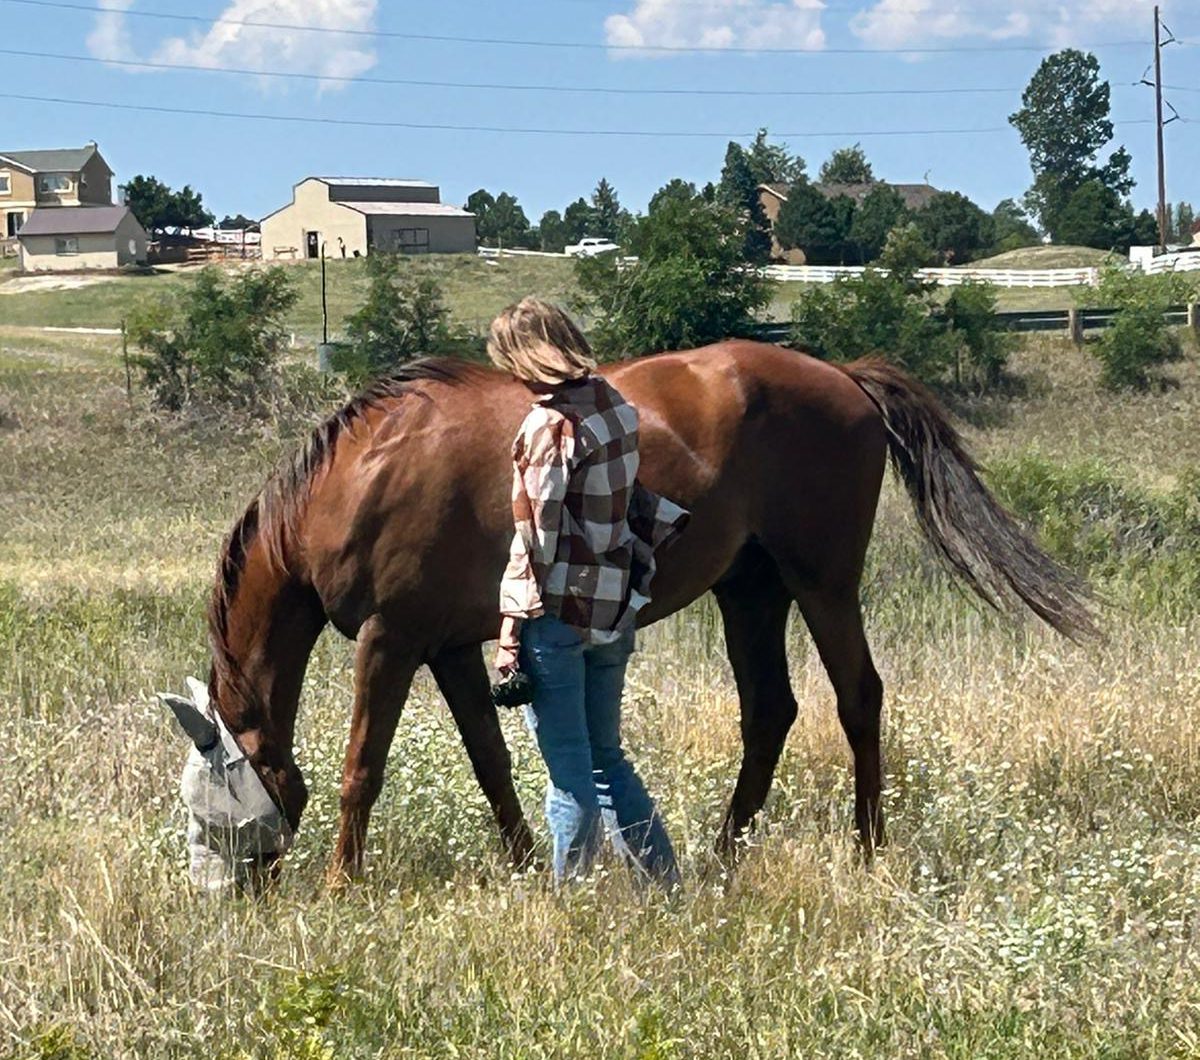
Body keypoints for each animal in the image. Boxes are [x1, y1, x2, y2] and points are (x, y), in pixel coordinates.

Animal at [162, 340, 1099, 888]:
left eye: (208, 808)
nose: (218, 897)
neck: (365, 474)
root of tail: (843, 376)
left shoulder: (391, 645)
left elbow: (363, 768)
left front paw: (341, 886)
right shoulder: (454, 651)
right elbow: (492, 764)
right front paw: (526, 866)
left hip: (823, 583)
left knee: (858, 699)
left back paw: (867, 849)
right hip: (749, 592)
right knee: (770, 711)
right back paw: (723, 856)